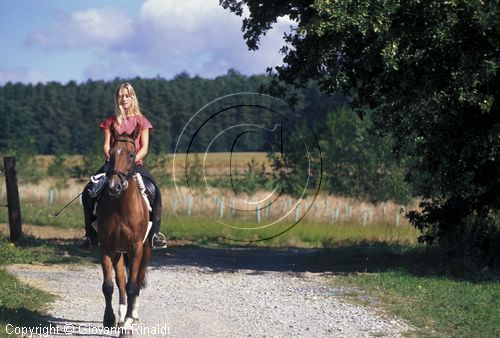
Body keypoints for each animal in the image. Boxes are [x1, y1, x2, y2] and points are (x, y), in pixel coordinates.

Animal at [96, 123, 151, 334]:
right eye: (111, 153)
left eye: (131, 154)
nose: (114, 186)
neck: (120, 207)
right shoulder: (105, 246)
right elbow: (109, 285)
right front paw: (109, 319)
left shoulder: (136, 247)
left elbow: (132, 285)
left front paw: (128, 323)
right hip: (118, 251)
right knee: (120, 280)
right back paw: (120, 315)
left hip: (146, 250)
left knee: (137, 279)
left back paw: (132, 315)